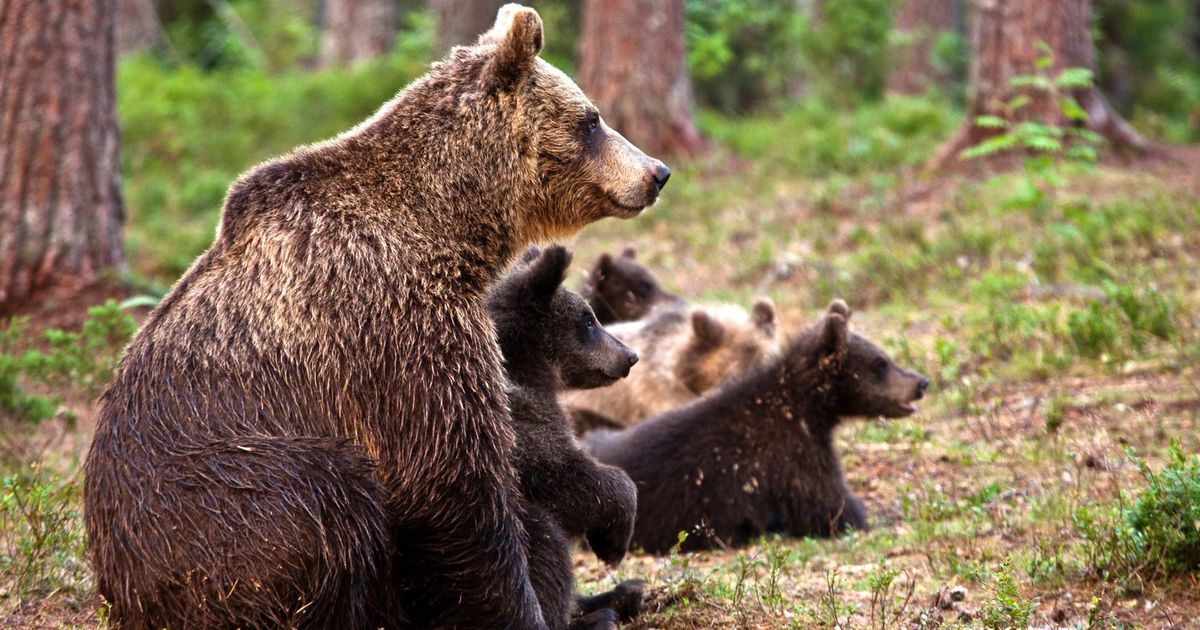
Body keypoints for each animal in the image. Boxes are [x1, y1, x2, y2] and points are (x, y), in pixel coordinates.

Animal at [487, 246, 645, 629]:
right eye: (588, 320)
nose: (630, 355)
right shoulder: (517, 426)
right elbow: (568, 477)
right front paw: (613, 540)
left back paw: (622, 595)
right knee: (545, 542)